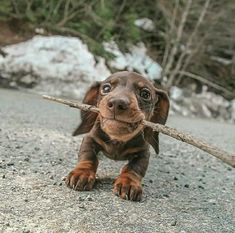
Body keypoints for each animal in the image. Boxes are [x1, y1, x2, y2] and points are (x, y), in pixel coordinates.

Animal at [65, 70, 169, 200]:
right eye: (106, 88)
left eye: (145, 94)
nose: (117, 102)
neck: (118, 139)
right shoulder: (90, 139)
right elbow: (88, 156)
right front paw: (82, 172)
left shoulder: (143, 152)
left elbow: (134, 168)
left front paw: (128, 183)